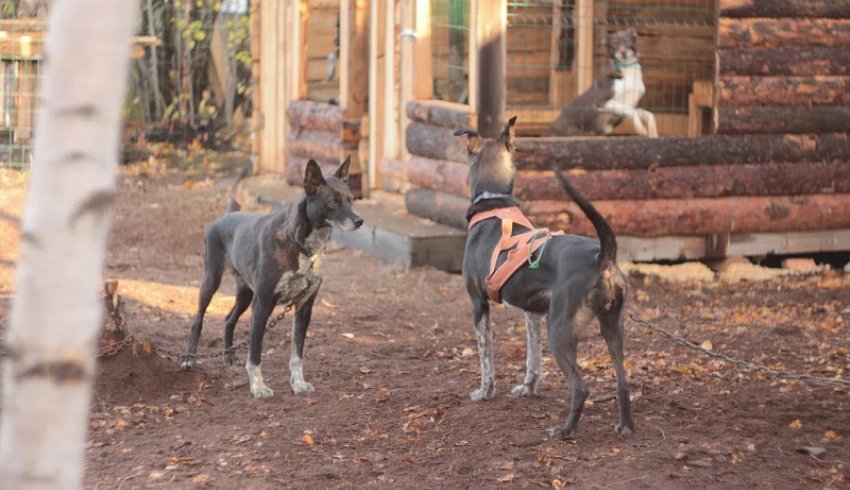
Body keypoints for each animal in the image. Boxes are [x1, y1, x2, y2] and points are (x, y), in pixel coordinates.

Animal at [458, 117, 628, 438]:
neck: (494, 204)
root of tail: (602, 256)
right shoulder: (532, 313)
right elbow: (532, 358)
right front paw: (528, 389)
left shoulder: (478, 305)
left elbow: (486, 357)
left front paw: (485, 392)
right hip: (612, 328)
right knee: (623, 378)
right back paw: (626, 426)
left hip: (560, 329)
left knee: (580, 387)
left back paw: (565, 430)